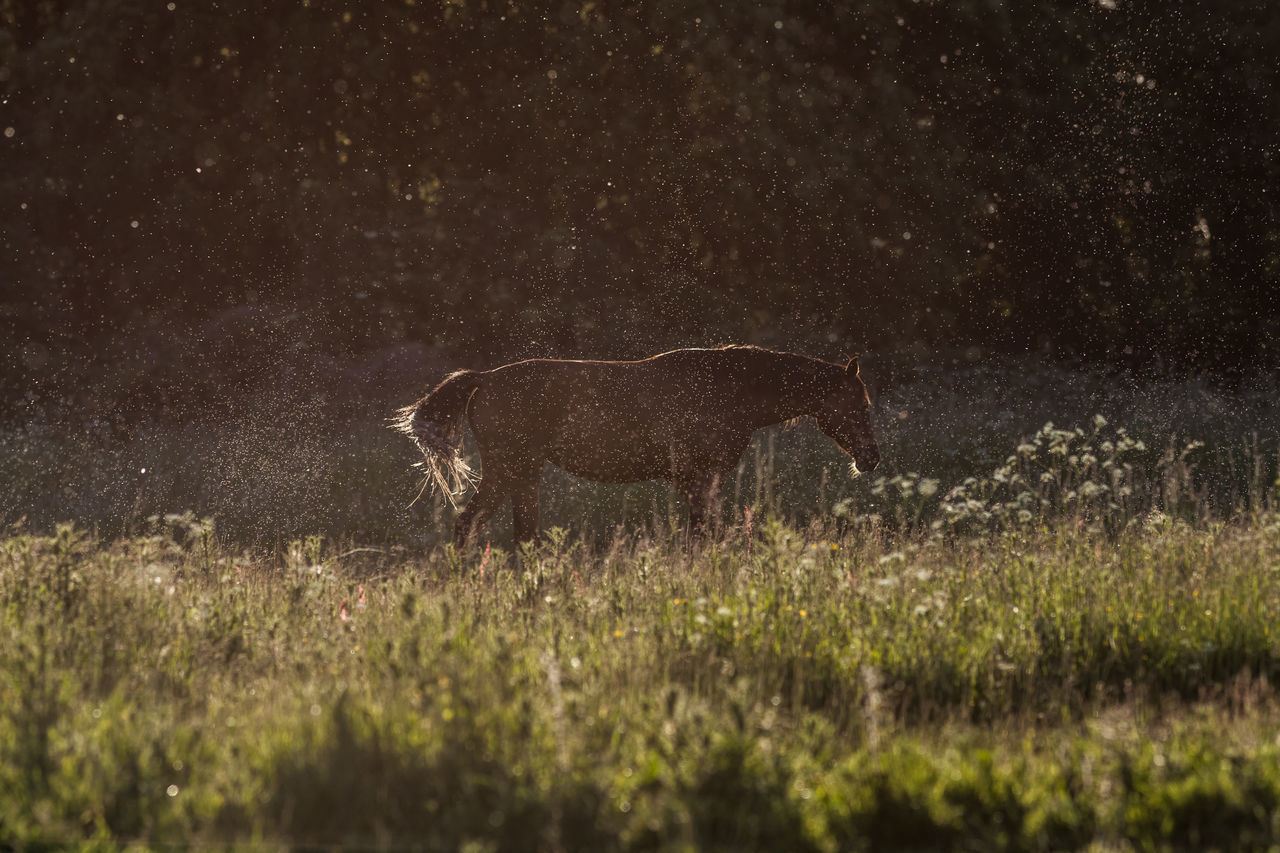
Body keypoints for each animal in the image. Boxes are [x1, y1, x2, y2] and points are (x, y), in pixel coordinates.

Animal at [391, 343, 880, 548]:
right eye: (860, 404)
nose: (871, 459)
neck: (731, 389)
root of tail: (484, 380)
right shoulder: (698, 478)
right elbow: (706, 535)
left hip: (520, 474)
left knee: (508, 531)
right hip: (512, 468)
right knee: (473, 524)